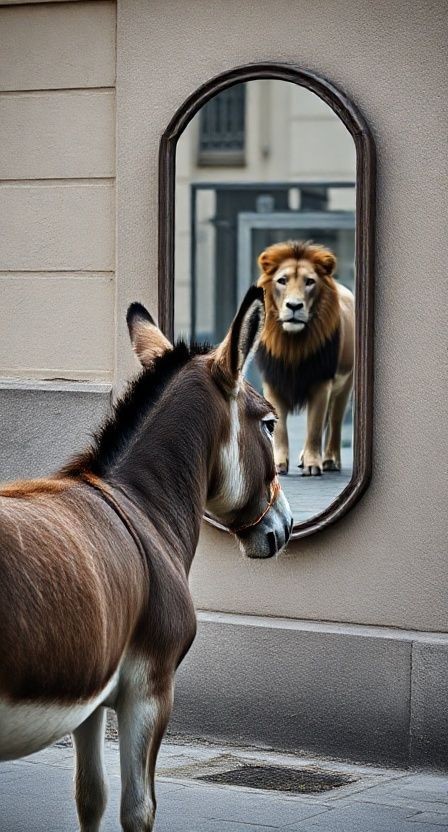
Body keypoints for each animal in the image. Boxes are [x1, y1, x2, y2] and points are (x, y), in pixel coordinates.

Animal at [255, 240, 354, 476]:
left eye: (309, 282)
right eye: (282, 281)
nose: (294, 306)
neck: (293, 343)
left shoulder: (321, 382)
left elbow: (315, 427)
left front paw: (312, 464)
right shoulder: (273, 382)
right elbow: (280, 429)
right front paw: (279, 464)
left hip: (345, 386)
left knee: (334, 423)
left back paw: (330, 460)